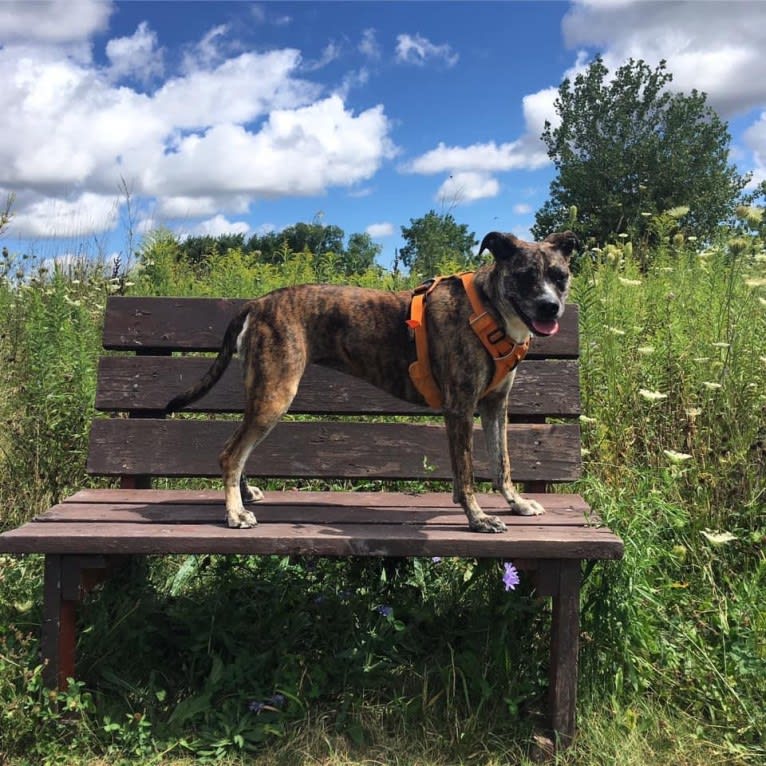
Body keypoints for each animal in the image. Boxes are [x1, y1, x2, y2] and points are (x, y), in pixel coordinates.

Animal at [166, 234, 576, 536]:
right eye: (525, 276)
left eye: (560, 276)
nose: (550, 307)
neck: (491, 309)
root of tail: (256, 302)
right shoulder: (460, 408)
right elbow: (467, 473)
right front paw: (478, 518)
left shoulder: (495, 406)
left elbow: (501, 462)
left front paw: (516, 503)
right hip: (275, 394)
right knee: (230, 453)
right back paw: (234, 513)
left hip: (263, 393)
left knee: (239, 448)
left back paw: (243, 494)